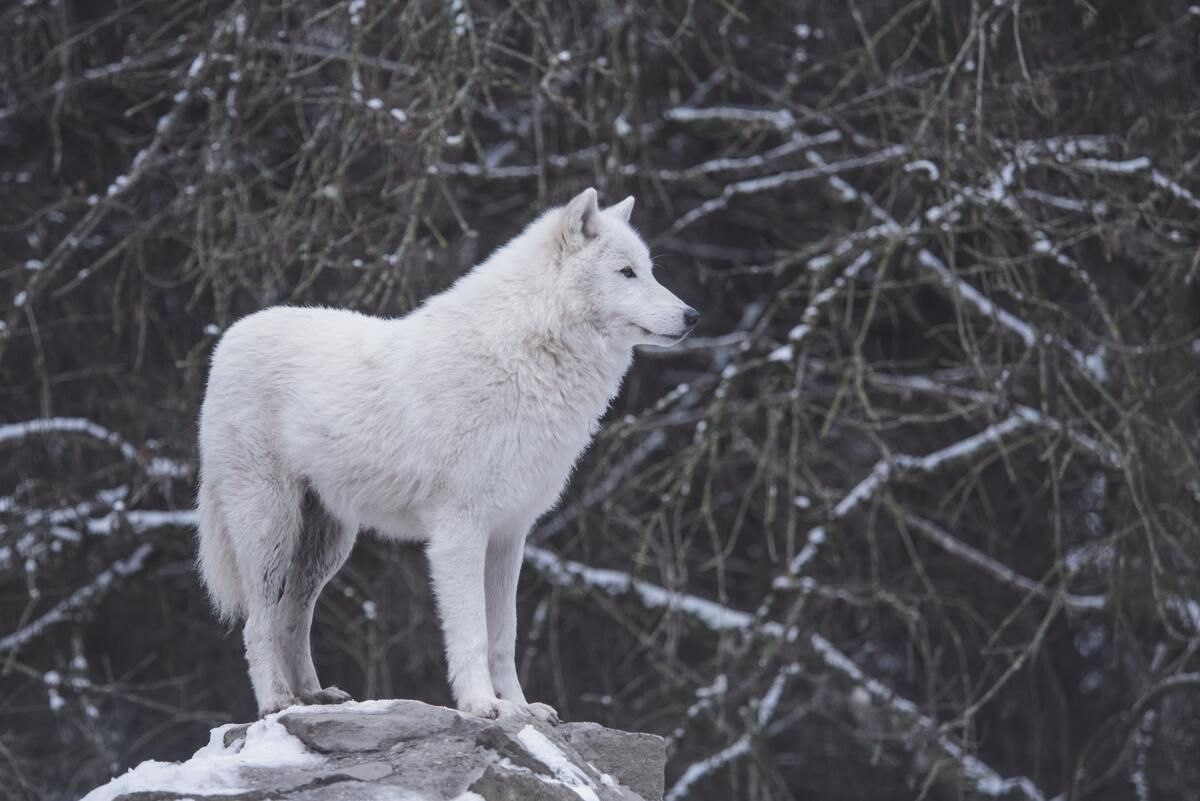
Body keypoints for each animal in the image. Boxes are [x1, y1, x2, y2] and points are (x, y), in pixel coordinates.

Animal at [195, 189, 700, 719]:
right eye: (627, 272)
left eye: (650, 270)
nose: (693, 316)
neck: (525, 358)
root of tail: (230, 337)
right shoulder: (460, 530)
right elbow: (473, 631)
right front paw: (482, 705)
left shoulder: (510, 534)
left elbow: (504, 635)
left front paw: (522, 709)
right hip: (270, 529)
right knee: (258, 623)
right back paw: (277, 701)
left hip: (327, 545)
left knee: (294, 616)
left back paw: (313, 696)